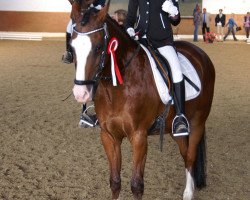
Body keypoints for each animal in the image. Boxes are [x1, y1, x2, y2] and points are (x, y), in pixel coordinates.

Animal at [70, 0, 215, 199]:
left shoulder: (139, 137)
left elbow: (136, 184)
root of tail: (200, 53)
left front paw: (170, 8)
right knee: (185, 153)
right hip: (173, 129)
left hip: (197, 122)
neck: (119, 84)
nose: (80, 93)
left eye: (99, 47)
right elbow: (115, 181)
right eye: (72, 46)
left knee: (190, 157)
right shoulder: (108, 136)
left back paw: (188, 193)